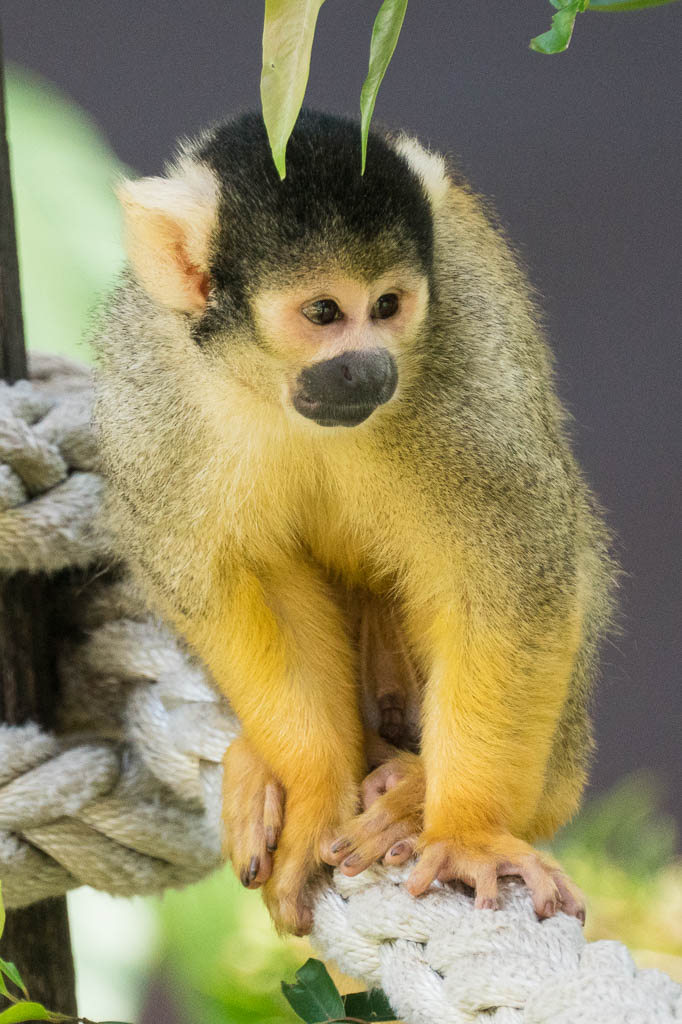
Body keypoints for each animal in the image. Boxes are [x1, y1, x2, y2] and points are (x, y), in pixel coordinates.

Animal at [93, 109, 615, 936]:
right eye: (324, 313)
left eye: (390, 306)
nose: (370, 367)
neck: (271, 389)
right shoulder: (153, 389)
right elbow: (240, 581)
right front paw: (314, 791)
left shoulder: (463, 371)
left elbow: (510, 578)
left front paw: (466, 832)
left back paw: (415, 796)